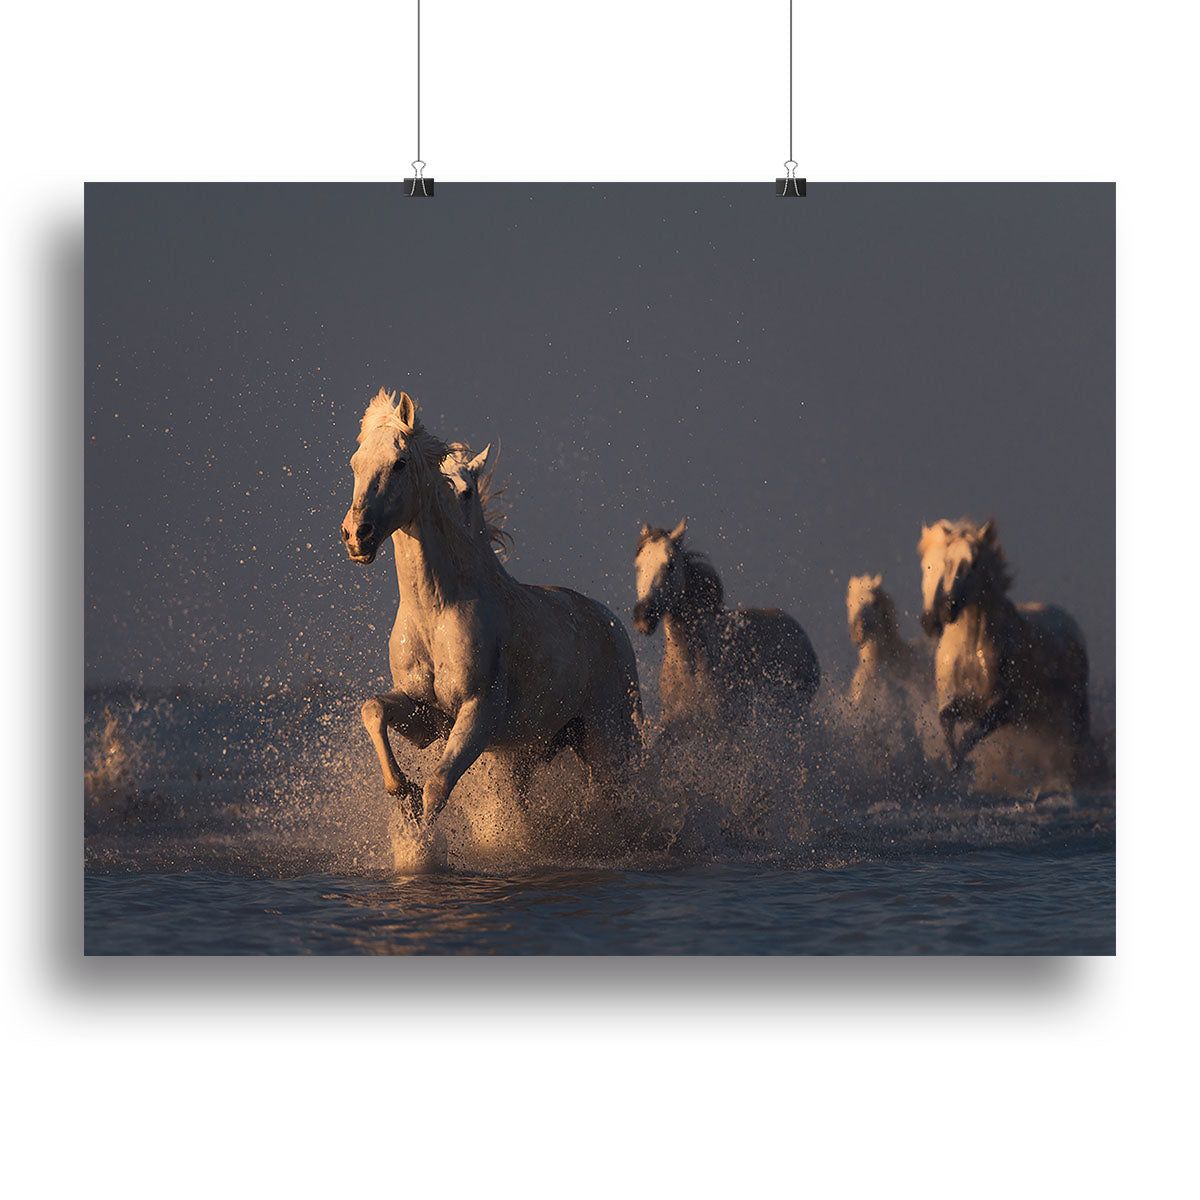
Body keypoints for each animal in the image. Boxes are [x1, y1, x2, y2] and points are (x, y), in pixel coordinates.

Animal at [341, 388, 642, 826]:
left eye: (399, 463)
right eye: (355, 463)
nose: (356, 536)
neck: (437, 610)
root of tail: (612, 623)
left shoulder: (478, 714)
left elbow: (437, 785)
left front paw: (420, 831)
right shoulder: (428, 716)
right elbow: (374, 709)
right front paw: (402, 792)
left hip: (607, 738)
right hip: (530, 752)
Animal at [917, 517, 1091, 773]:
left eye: (974, 563)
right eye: (947, 562)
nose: (946, 611)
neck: (970, 649)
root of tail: (1069, 622)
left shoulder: (1004, 708)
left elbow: (974, 732)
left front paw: (959, 763)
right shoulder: (960, 701)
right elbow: (946, 718)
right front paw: (952, 763)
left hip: (1074, 711)